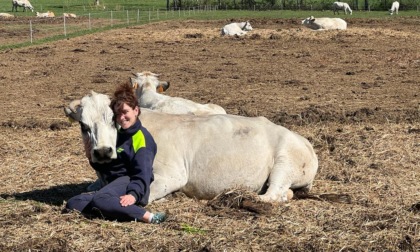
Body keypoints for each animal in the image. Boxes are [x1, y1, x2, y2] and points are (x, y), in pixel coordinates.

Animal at [63, 91, 318, 204]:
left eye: (114, 119)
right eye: (83, 125)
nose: (103, 151)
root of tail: (304, 141)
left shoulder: (173, 174)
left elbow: (147, 193)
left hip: (285, 163)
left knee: (274, 194)